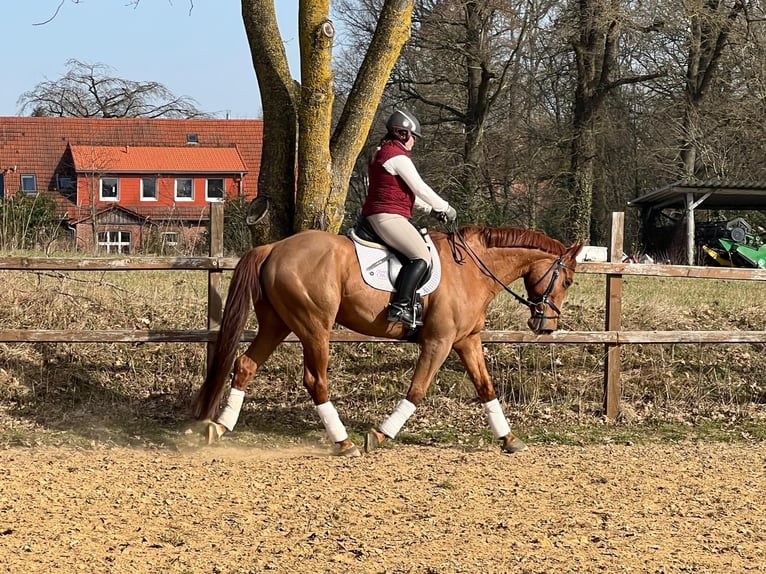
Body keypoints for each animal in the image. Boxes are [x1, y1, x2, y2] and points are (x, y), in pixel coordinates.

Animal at [192, 225, 581, 456]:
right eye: (567, 281)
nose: (546, 326)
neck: (472, 269)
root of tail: (273, 248)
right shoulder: (438, 342)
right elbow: (417, 390)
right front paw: (379, 435)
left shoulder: (467, 340)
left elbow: (486, 388)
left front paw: (510, 438)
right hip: (314, 328)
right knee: (315, 380)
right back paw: (344, 442)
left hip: (277, 325)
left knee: (245, 365)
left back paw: (220, 426)